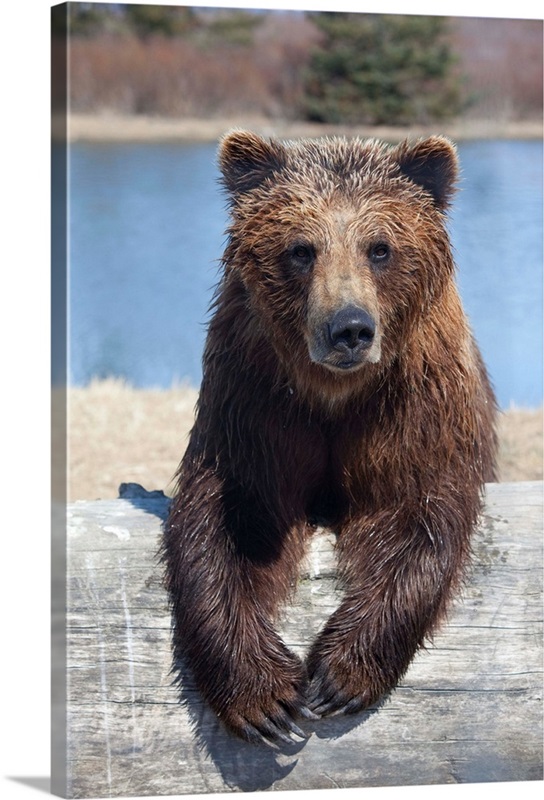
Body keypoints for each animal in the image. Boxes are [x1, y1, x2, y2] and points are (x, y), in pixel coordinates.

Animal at [163, 130, 498, 744]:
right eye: (301, 248)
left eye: (380, 247)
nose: (349, 328)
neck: (334, 395)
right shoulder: (255, 405)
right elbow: (226, 521)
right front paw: (265, 697)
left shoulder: (414, 409)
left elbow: (423, 517)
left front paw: (339, 676)